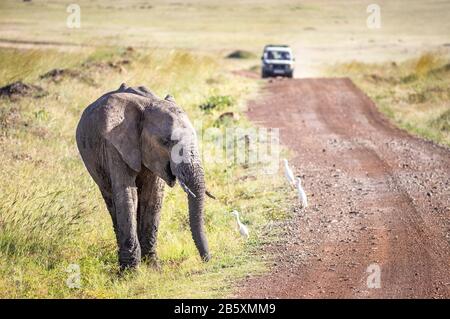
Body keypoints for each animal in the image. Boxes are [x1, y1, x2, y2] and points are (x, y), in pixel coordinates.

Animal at [76, 84, 210, 272]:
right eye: (166, 142)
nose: (207, 260)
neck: (148, 105)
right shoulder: (114, 146)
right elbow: (127, 194)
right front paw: (131, 273)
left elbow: (152, 195)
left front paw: (153, 267)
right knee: (110, 198)